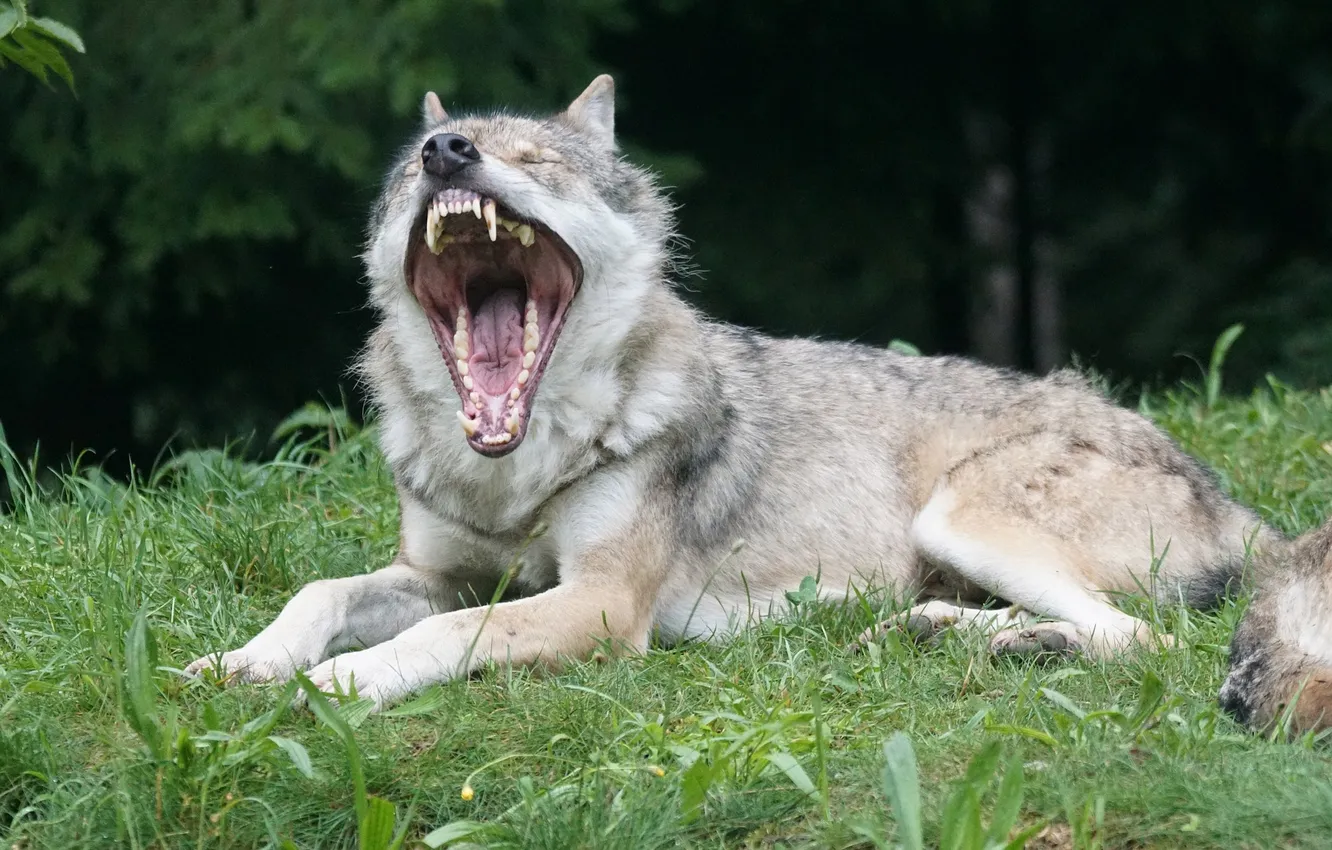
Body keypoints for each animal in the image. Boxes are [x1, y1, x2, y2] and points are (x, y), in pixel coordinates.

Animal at [185, 75, 1332, 734]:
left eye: (535, 160)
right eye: (418, 168)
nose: (447, 153)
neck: (515, 467)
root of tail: (1236, 502)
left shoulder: (598, 604)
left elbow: (436, 640)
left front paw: (333, 688)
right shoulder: (438, 572)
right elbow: (321, 593)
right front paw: (240, 662)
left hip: (962, 514)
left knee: (1148, 641)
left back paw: (1011, 646)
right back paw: (946, 632)